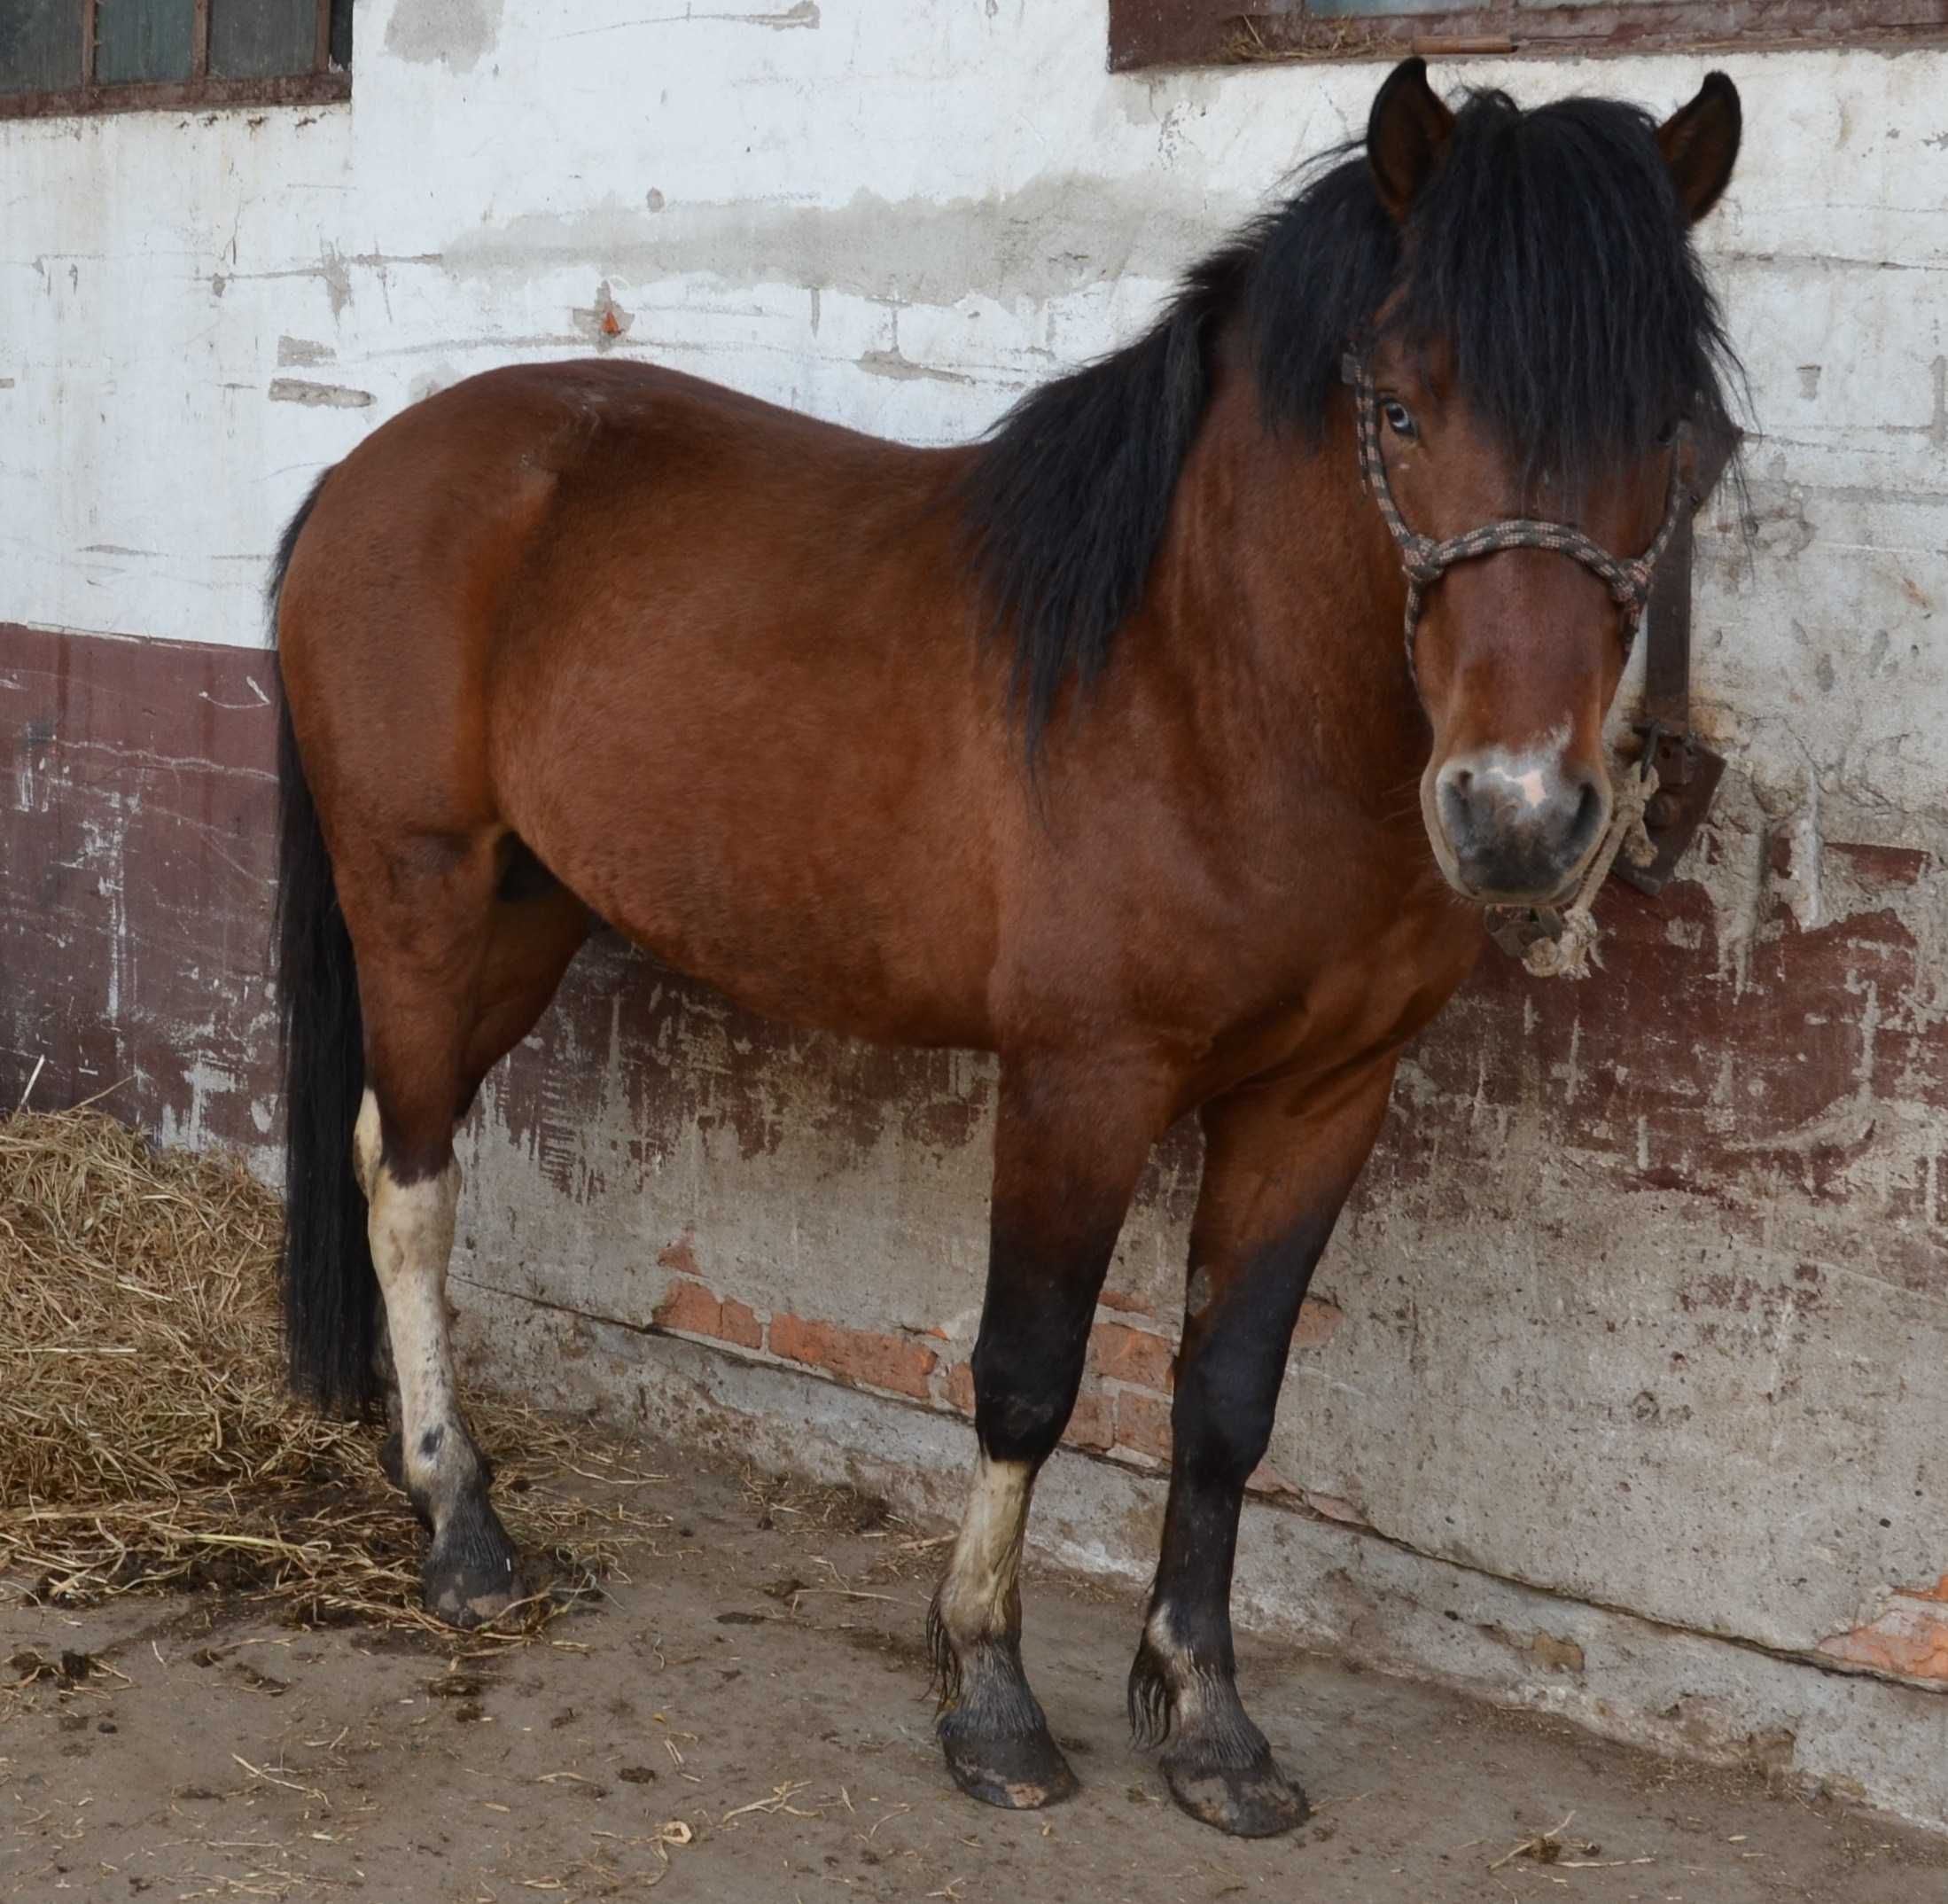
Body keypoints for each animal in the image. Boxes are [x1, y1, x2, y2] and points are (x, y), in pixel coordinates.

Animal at [267, 59, 1745, 1831]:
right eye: (1396, 409)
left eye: (1672, 431)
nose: (1517, 815)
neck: (1206, 684)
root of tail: (374, 467)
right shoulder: (1078, 1080)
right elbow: (1029, 1373)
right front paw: (985, 1689)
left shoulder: (1323, 1098)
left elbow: (1225, 1400)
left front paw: (1207, 1720)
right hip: (417, 894)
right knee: (413, 1182)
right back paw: (464, 1533)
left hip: (531, 912)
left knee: (382, 1137)